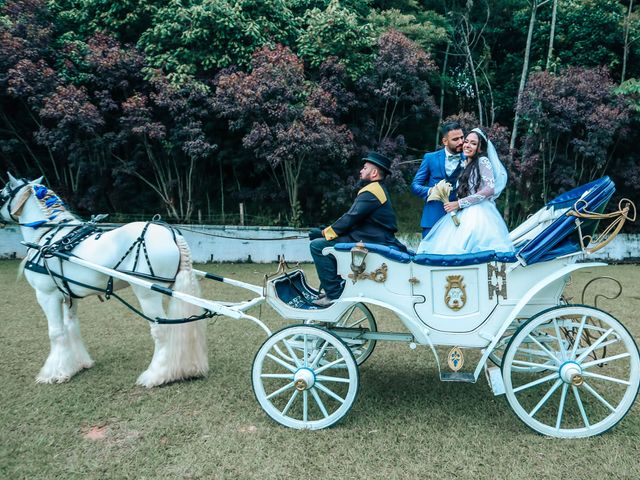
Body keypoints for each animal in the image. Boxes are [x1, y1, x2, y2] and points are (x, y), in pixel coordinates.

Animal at [0, 174, 208, 388]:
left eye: (2, 194)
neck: (50, 237)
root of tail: (171, 233)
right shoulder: (68, 295)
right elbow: (71, 327)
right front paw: (76, 365)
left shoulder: (46, 295)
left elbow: (56, 333)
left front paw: (53, 374)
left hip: (147, 293)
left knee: (162, 331)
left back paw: (156, 376)